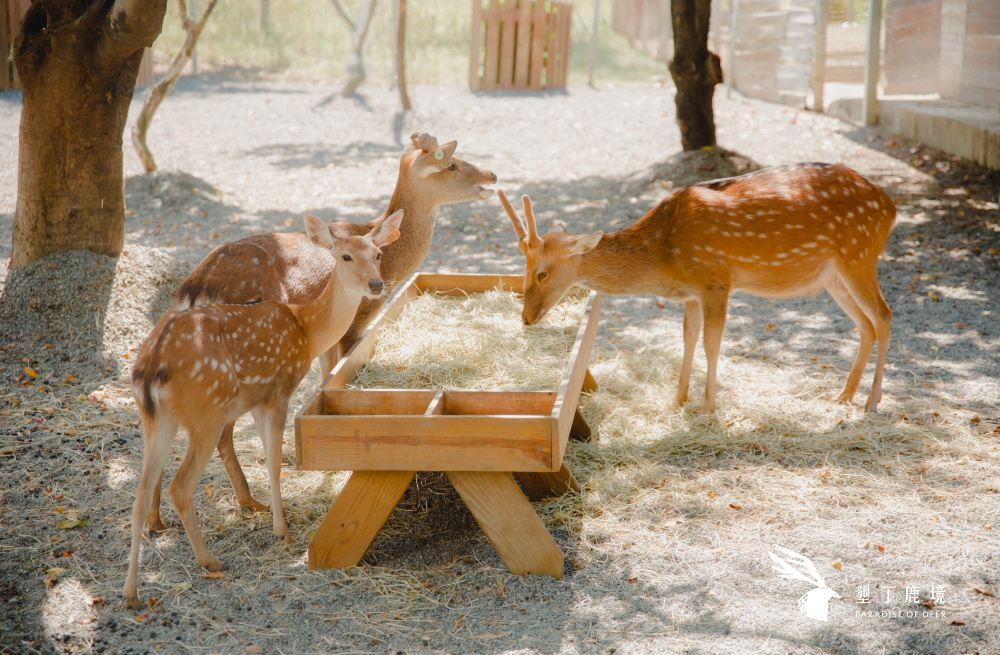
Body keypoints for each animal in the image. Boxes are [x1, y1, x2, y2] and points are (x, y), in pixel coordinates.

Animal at [123, 210, 403, 610]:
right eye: (346, 256)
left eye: (378, 254)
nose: (377, 284)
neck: (306, 329)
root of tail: (151, 366)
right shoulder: (279, 390)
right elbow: (273, 462)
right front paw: (281, 530)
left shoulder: (257, 400)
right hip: (207, 412)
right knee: (182, 484)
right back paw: (209, 560)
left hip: (155, 419)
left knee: (140, 492)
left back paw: (131, 591)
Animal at [161, 132, 496, 520]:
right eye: (451, 164)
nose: (492, 174)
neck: (389, 263)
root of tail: (193, 289)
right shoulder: (357, 320)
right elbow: (340, 373)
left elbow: (326, 376)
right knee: (220, 430)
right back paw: (250, 501)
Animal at [498, 163, 896, 413]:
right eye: (524, 267)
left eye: (542, 273)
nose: (526, 317)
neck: (665, 257)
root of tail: (890, 207)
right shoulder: (690, 293)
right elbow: (687, 338)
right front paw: (677, 400)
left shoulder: (716, 281)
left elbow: (711, 343)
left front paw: (709, 406)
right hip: (832, 276)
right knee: (865, 324)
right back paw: (844, 396)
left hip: (858, 255)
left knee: (884, 314)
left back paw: (872, 400)